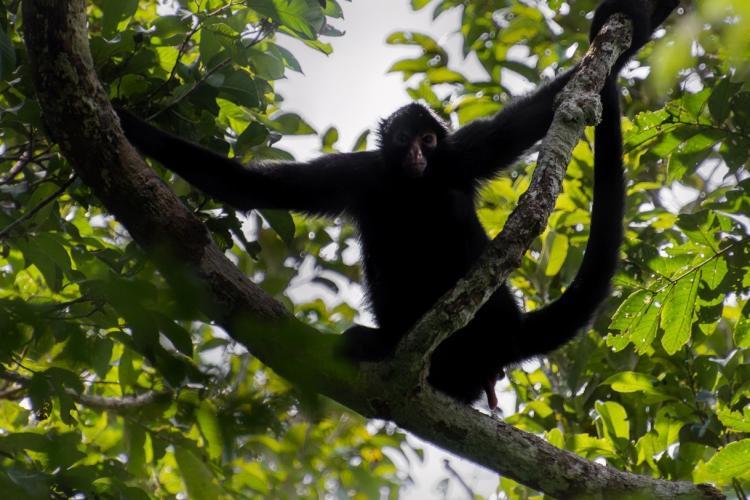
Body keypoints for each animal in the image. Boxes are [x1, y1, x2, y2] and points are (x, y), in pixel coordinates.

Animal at [116, 0, 678, 408]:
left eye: (428, 141)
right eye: (406, 138)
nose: (416, 154)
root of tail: (509, 331)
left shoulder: (463, 155)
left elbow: (540, 112)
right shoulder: (360, 173)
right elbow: (249, 188)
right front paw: (125, 122)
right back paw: (389, 342)